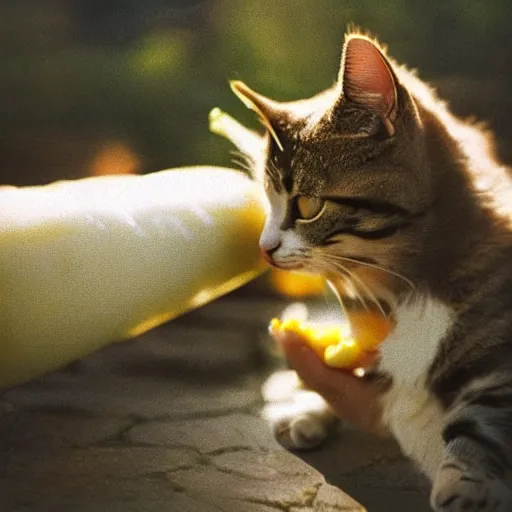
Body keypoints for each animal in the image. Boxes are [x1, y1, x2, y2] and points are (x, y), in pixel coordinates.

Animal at [224, 31, 512, 512]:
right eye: (267, 200)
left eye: (306, 205)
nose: (263, 250)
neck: (410, 282)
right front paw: (308, 404)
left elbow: (481, 420)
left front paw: (464, 485)